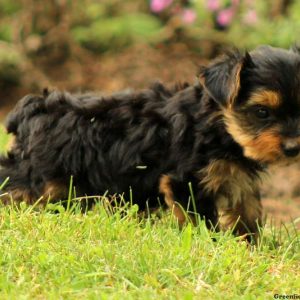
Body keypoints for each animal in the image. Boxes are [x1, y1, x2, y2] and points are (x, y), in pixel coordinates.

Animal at [0, 45, 300, 239]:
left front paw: (252, 247)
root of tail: (30, 110)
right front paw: (212, 244)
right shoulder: (185, 181)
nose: (294, 148)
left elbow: (247, 214)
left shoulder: (238, 179)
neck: (220, 126)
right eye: (262, 112)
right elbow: (202, 220)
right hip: (38, 173)